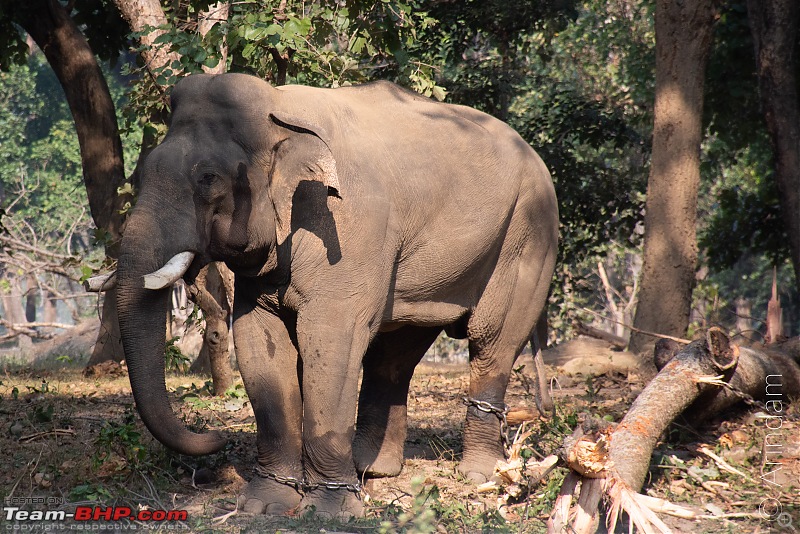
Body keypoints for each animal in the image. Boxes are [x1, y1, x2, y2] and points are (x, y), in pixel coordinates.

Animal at [114, 73, 556, 520]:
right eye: (142, 173)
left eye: (208, 178)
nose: (216, 439)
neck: (280, 107)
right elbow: (259, 339)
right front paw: (266, 503)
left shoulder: (348, 229)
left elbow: (331, 337)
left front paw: (330, 510)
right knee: (395, 352)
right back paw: (373, 470)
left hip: (527, 236)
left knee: (491, 340)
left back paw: (478, 473)